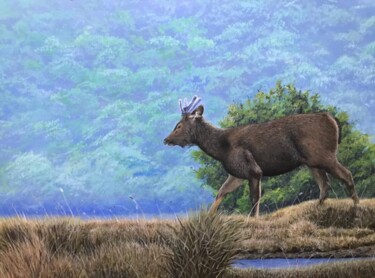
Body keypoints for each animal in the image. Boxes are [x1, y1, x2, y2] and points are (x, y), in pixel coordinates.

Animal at [164, 96, 362, 217]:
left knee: (346, 174)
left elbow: (254, 198)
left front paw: (253, 219)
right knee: (325, 184)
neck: (221, 149)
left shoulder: (253, 169)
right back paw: (316, 207)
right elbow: (221, 192)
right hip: (312, 161)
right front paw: (208, 217)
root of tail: (333, 120)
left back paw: (356, 206)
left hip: (323, 154)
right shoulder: (237, 173)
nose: (166, 139)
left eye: (179, 126)